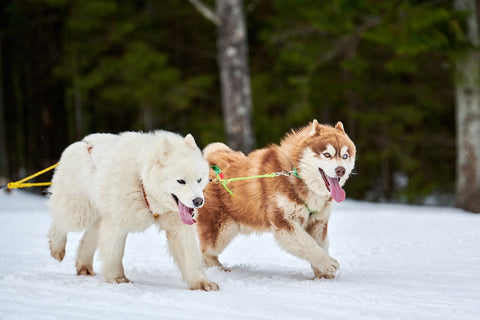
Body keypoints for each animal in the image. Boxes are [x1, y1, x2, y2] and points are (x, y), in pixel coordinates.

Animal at [47, 131, 219, 292]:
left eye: (199, 180)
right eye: (181, 181)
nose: (198, 201)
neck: (142, 180)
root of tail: (82, 143)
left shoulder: (179, 226)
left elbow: (190, 257)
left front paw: (202, 282)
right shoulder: (116, 222)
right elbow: (114, 254)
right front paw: (118, 279)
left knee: (88, 237)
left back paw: (84, 266)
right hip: (80, 212)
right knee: (60, 222)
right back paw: (57, 248)